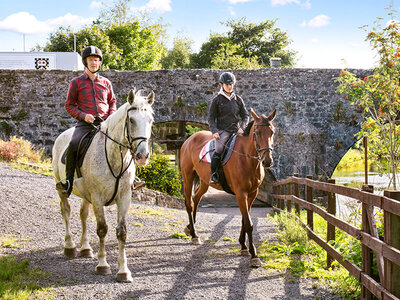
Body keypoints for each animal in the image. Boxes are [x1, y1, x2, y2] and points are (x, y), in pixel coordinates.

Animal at [180, 108, 276, 268]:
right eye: (256, 133)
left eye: (272, 132)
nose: (267, 161)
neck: (247, 158)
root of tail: (189, 139)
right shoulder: (241, 193)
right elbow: (249, 223)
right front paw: (254, 255)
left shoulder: (252, 193)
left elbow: (245, 219)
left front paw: (243, 246)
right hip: (188, 177)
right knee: (189, 204)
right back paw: (194, 235)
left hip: (204, 182)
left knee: (196, 199)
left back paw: (190, 227)